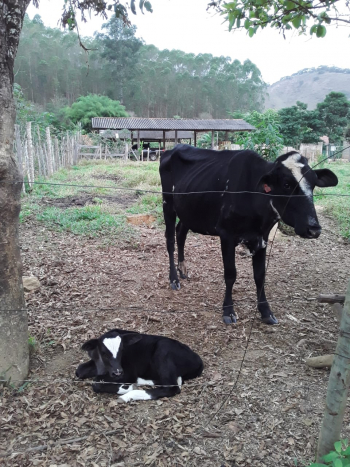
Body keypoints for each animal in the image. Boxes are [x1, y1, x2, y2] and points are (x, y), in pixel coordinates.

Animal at [75, 330, 204, 402]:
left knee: (172, 388)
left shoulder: (128, 372)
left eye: (122, 350)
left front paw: (127, 387)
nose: (117, 372)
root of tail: (198, 360)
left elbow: (96, 383)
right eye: (103, 353)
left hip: (163, 351)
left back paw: (128, 394)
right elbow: (79, 370)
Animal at [160, 145, 338, 326]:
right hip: (168, 204)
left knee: (181, 234)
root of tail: (175, 148)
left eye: (313, 184)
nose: (313, 229)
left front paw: (266, 311)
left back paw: (183, 270)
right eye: (287, 184)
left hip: (188, 212)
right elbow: (230, 274)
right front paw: (228, 311)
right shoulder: (226, 234)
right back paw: (174, 279)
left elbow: (260, 275)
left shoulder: (262, 237)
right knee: (170, 240)